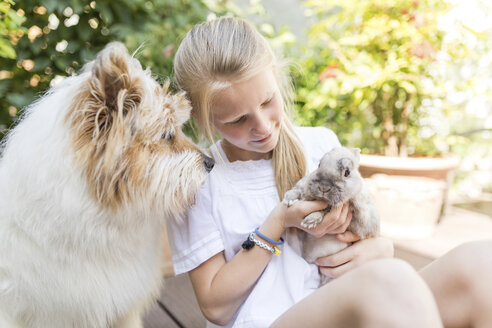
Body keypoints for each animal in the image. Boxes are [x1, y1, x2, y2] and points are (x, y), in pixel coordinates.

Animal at [282, 147, 378, 284]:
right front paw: (288, 200)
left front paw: (310, 220)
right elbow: (297, 190)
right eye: (319, 164)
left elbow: (325, 210)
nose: (323, 187)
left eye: (347, 172)